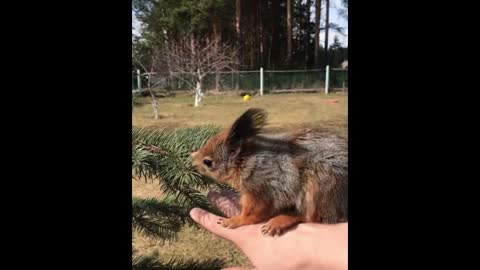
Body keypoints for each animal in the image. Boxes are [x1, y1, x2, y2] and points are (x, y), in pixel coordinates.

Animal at [189, 108, 346, 236]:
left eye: (208, 162)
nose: (193, 164)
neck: (247, 161)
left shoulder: (260, 189)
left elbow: (252, 213)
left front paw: (237, 220)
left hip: (319, 188)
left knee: (310, 217)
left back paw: (280, 220)